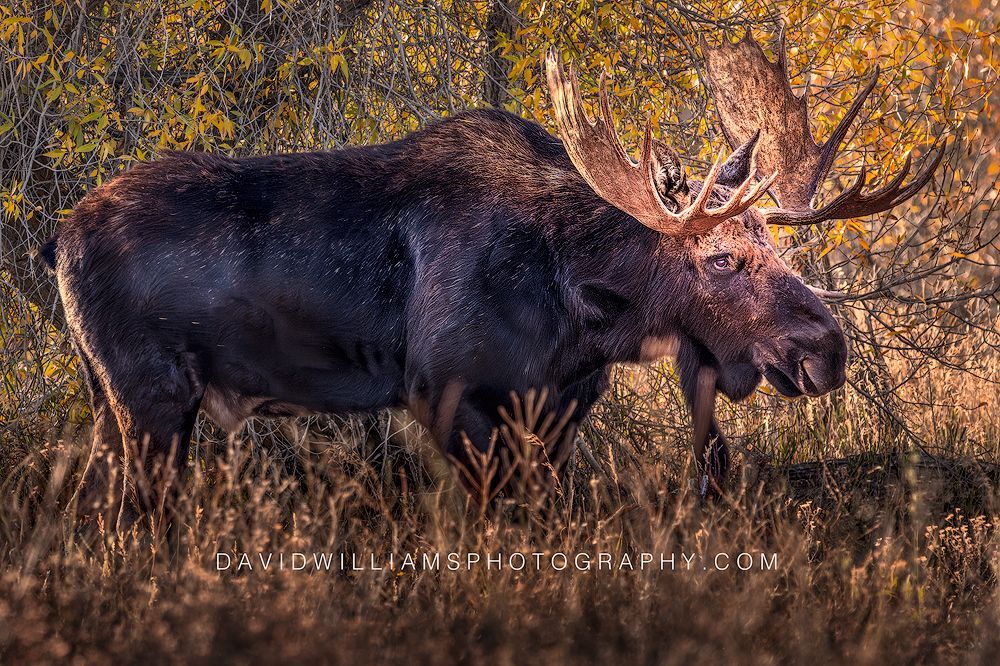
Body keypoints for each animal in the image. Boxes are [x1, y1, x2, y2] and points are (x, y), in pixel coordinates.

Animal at [39, 31, 942, 524]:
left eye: (785, 252)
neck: (584, 309)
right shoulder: (449, 396)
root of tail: (58, 239)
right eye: (721, 258)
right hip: (149, 397)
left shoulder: (557, 409)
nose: (827, 349)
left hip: (110, 401)